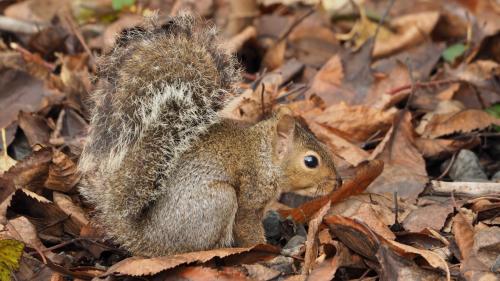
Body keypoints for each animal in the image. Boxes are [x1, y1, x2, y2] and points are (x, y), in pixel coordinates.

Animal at [78, 14, 340, 258]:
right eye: (311, 161)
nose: (337, 182)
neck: (264, 155)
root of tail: (147, 240)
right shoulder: (250, 195)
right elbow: (247, 228)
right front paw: (269, 248)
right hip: (219, 201)